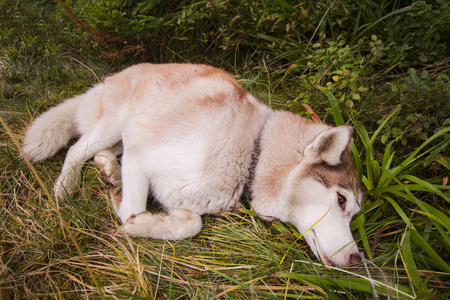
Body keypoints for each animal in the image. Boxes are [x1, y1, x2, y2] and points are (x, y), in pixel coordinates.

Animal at [23, 62, 362, 264]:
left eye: (355, 213)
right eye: (341, 200)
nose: (359, 260)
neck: (253, 151)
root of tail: (115, 75)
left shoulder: (179, 193)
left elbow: (191, 224)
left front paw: (150, 222)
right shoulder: (140, 150)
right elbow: (133, 210)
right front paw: (135, 219)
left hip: (119, 136)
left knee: (100, 152)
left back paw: (109, 171)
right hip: (116, 125)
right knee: (76, 150)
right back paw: (66, 187)